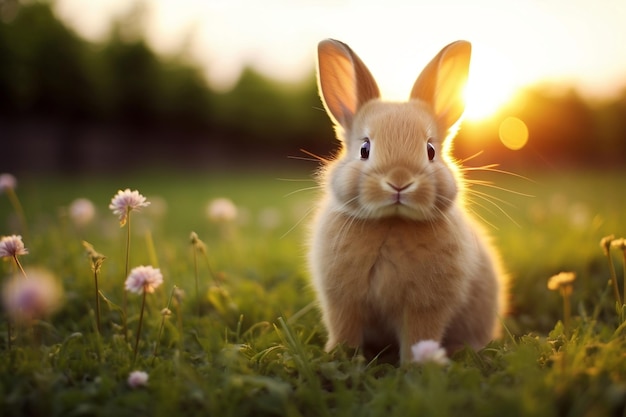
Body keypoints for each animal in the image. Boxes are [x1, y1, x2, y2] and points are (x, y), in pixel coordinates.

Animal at [308, 39, 508, 364]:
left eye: (430, 150)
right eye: (364, 149)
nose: (399, 180)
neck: (392, 222)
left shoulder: (425, 307)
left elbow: (418, 335)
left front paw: (417, 365)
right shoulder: (341, 301)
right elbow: (344, 329)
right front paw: (341, 356)